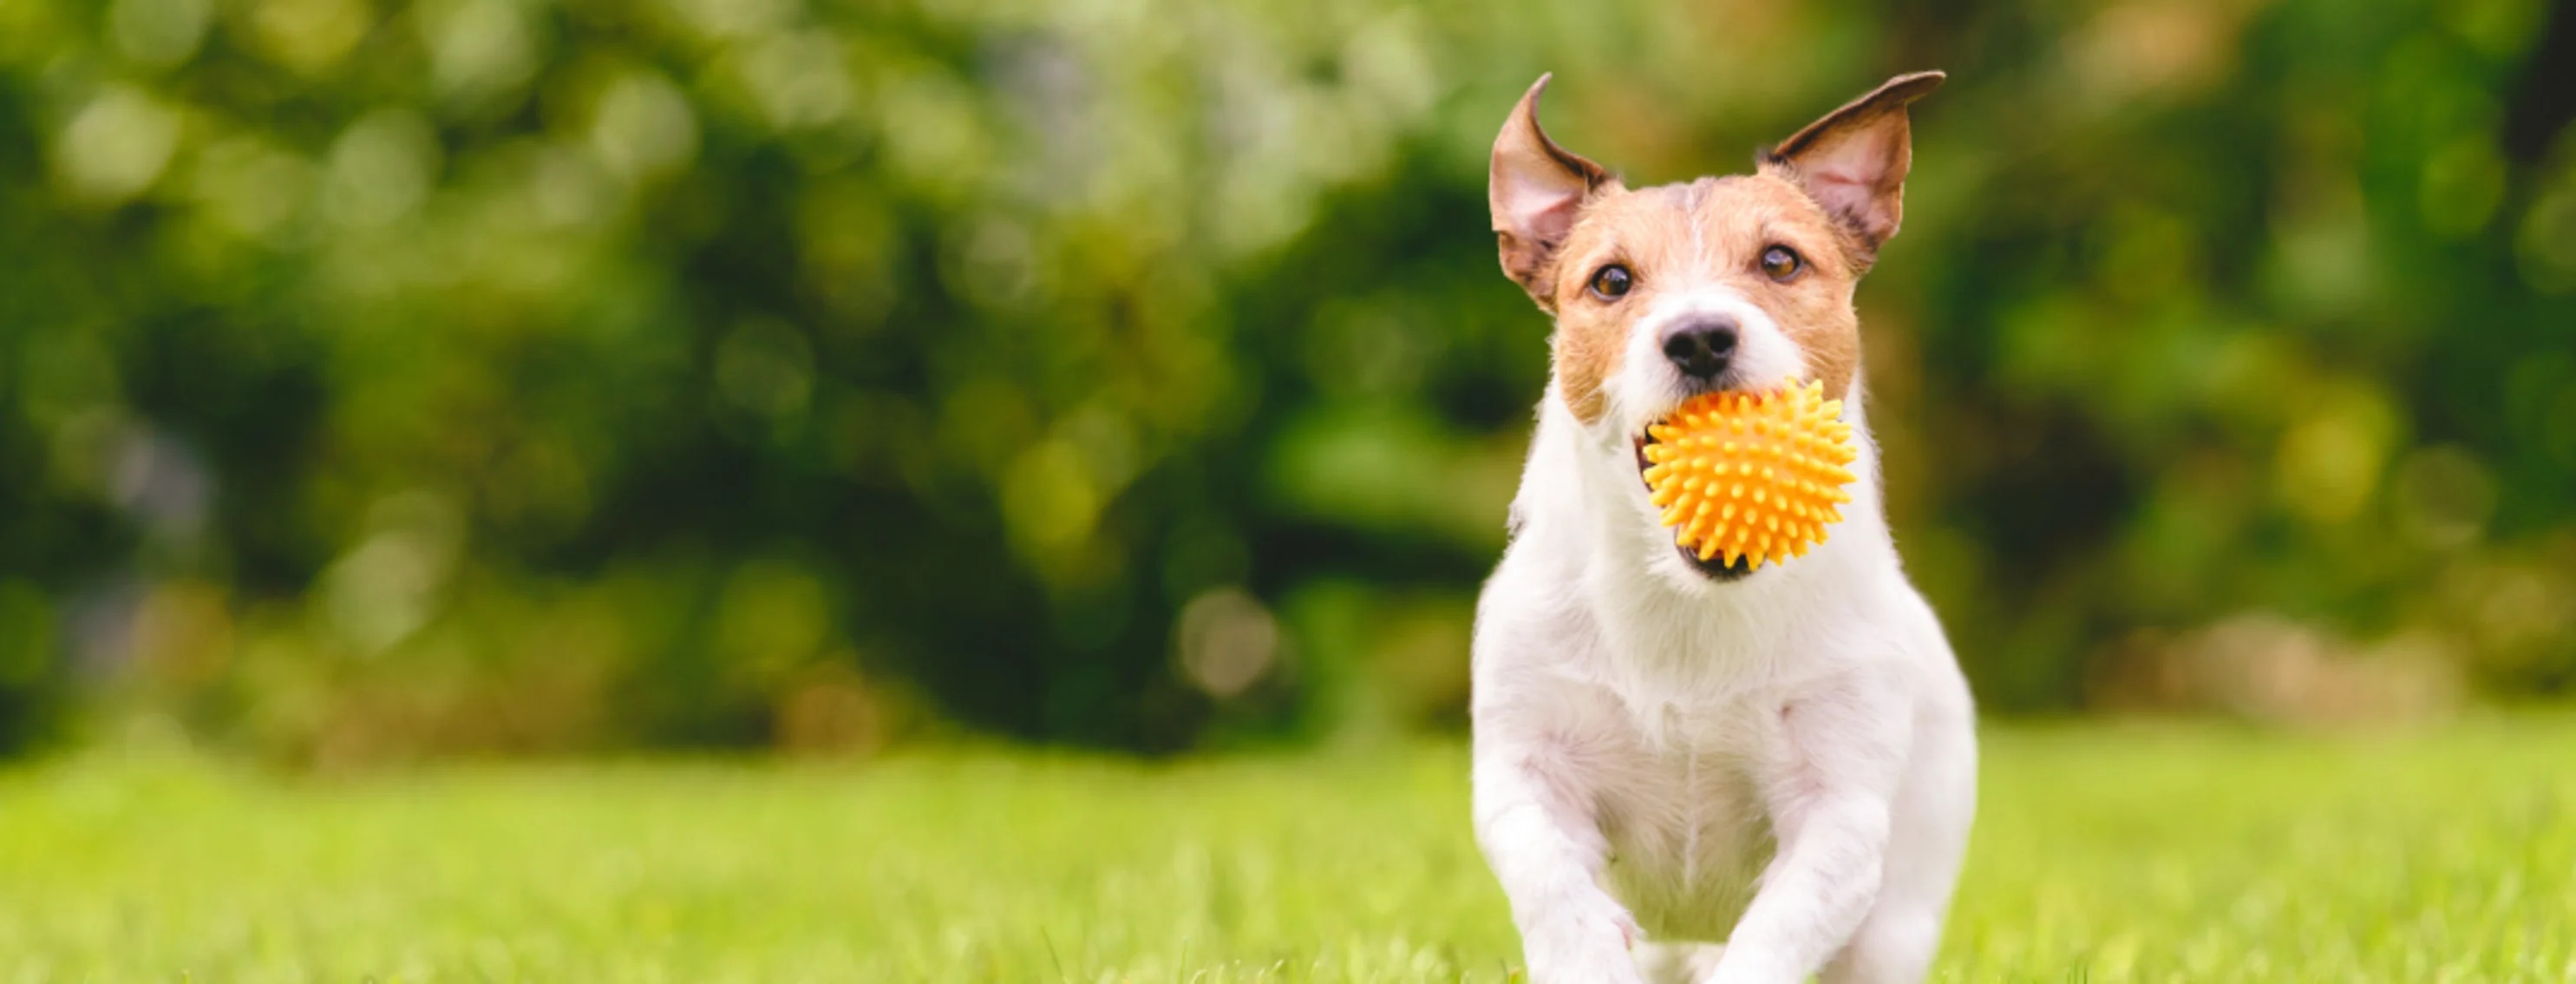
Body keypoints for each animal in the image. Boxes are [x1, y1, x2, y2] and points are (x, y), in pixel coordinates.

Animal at [1473, 71, 1968, 984]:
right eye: (1611, 280)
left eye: (1780, 260)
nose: (1700, 336)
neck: (1690, 608)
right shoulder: (1525, 770)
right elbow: (1548, 877)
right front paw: (1582, 948)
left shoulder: (1839, 813)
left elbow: (1775, 932)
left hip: (1894, 928)